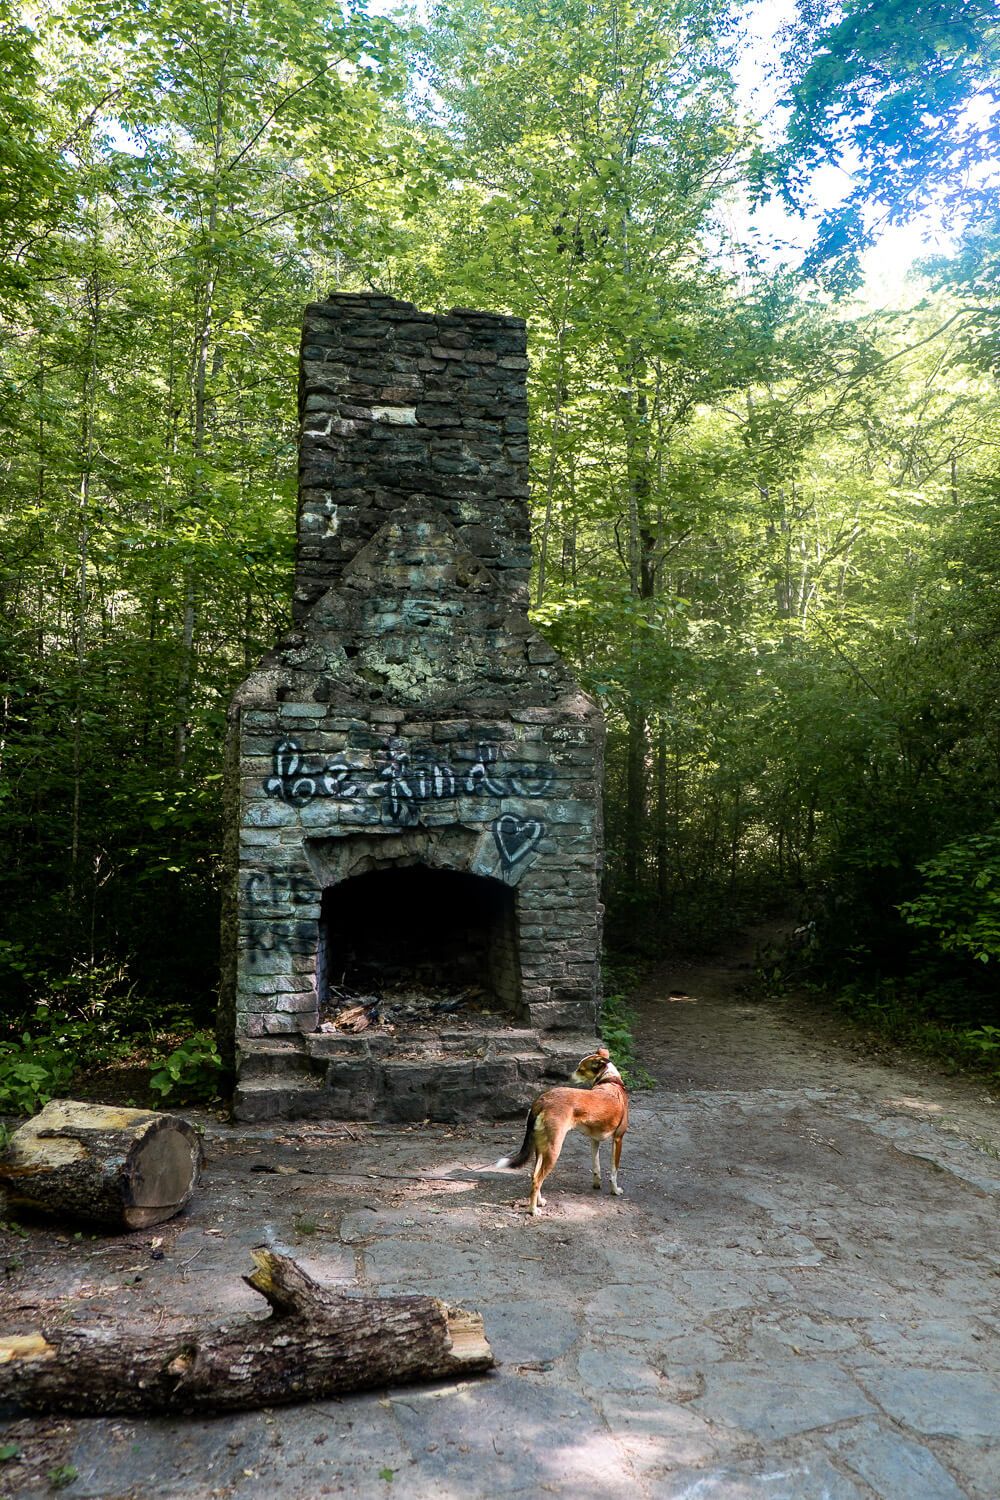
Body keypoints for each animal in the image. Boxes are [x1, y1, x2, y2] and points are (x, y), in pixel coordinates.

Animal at [497, 1050, 629, 1212]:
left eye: (581, 1069)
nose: (567, 1077)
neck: (610, 1080)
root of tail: (542, 1100)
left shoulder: (594, 1140)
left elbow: (596, 1166)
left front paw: (597, 1184)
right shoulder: (618, 1139)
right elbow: (614, 1171)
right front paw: (615, 1191)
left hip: (541, 1149)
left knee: (534, 1176)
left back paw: (539, 1202)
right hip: (554, 1150)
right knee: (537, 1180)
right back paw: (533, 1210)